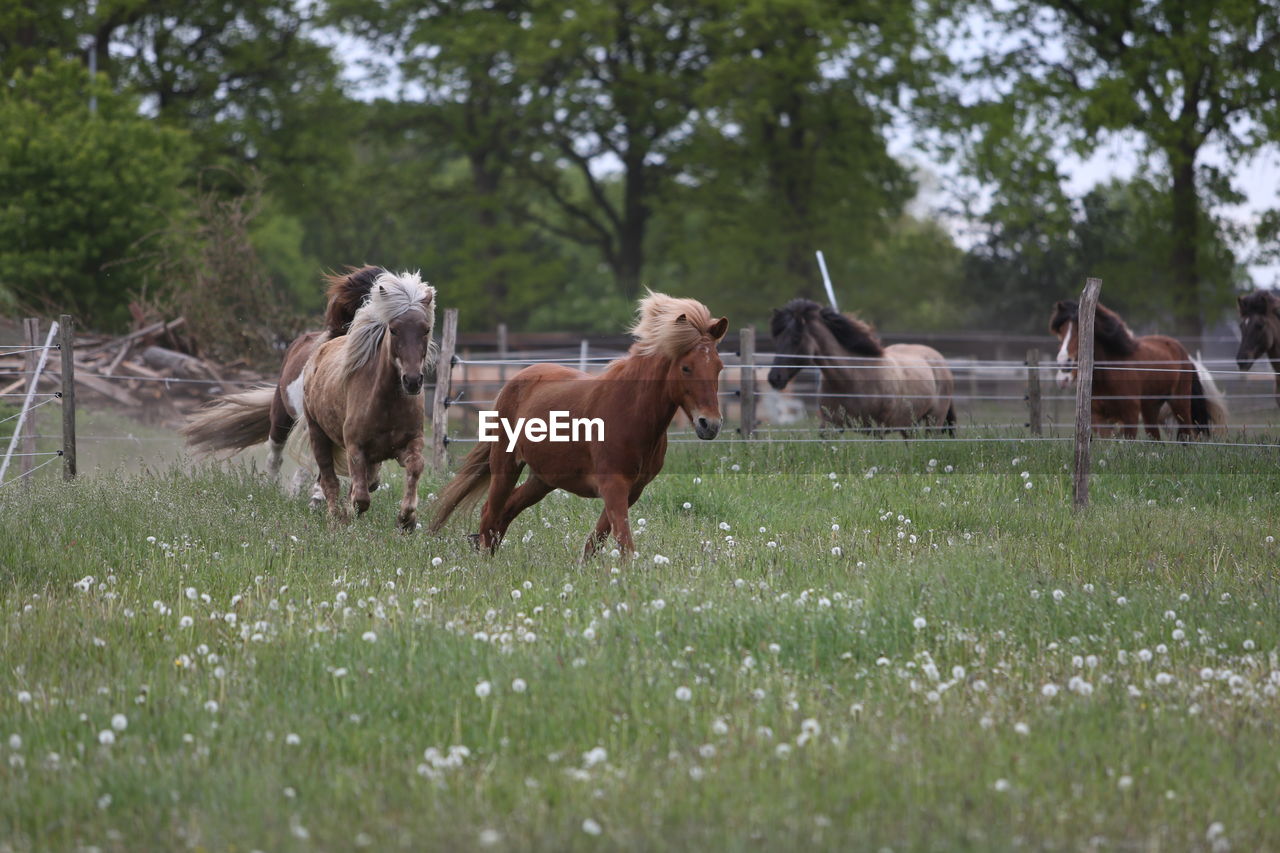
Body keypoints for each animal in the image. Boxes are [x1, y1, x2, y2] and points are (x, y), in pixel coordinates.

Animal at [303, 268, 435, 527]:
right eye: (393, 329)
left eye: (425, 329)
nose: (412, 381)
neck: (388, 404)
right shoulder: (356, 449)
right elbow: (361, 497)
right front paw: (350, 515)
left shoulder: (409, 443)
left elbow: (415, 467)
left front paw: (407, 518)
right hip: (318, 434)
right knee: (329, 480)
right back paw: (334, 517)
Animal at [430, 290, 727, 558]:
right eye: (686, 368)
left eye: (718, 367)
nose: (710, 424)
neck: (631, 414)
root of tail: (515, 380)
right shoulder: (614, 486)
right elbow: (624, 544)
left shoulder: (631, 490)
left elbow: (596, 542)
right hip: (506, 464)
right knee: (490, 514)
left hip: (543, 478)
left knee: (506, 510)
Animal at [762, 297, 957, 432]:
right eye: (777, 339)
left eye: (796, 338)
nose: (774, 378)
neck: (853, 378)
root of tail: (939, 360)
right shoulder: (830, 426)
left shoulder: (876, 429)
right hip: (909, 425)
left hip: (933, 422)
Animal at [1049, 297, 1228, 435]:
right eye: (1061, 331)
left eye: (1080, 329)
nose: (1063, 363)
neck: (1110, 373)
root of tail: (1186, 356)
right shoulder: (1098, 418)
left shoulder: (1130, 415)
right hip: (1151, 409)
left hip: (1179, 405)